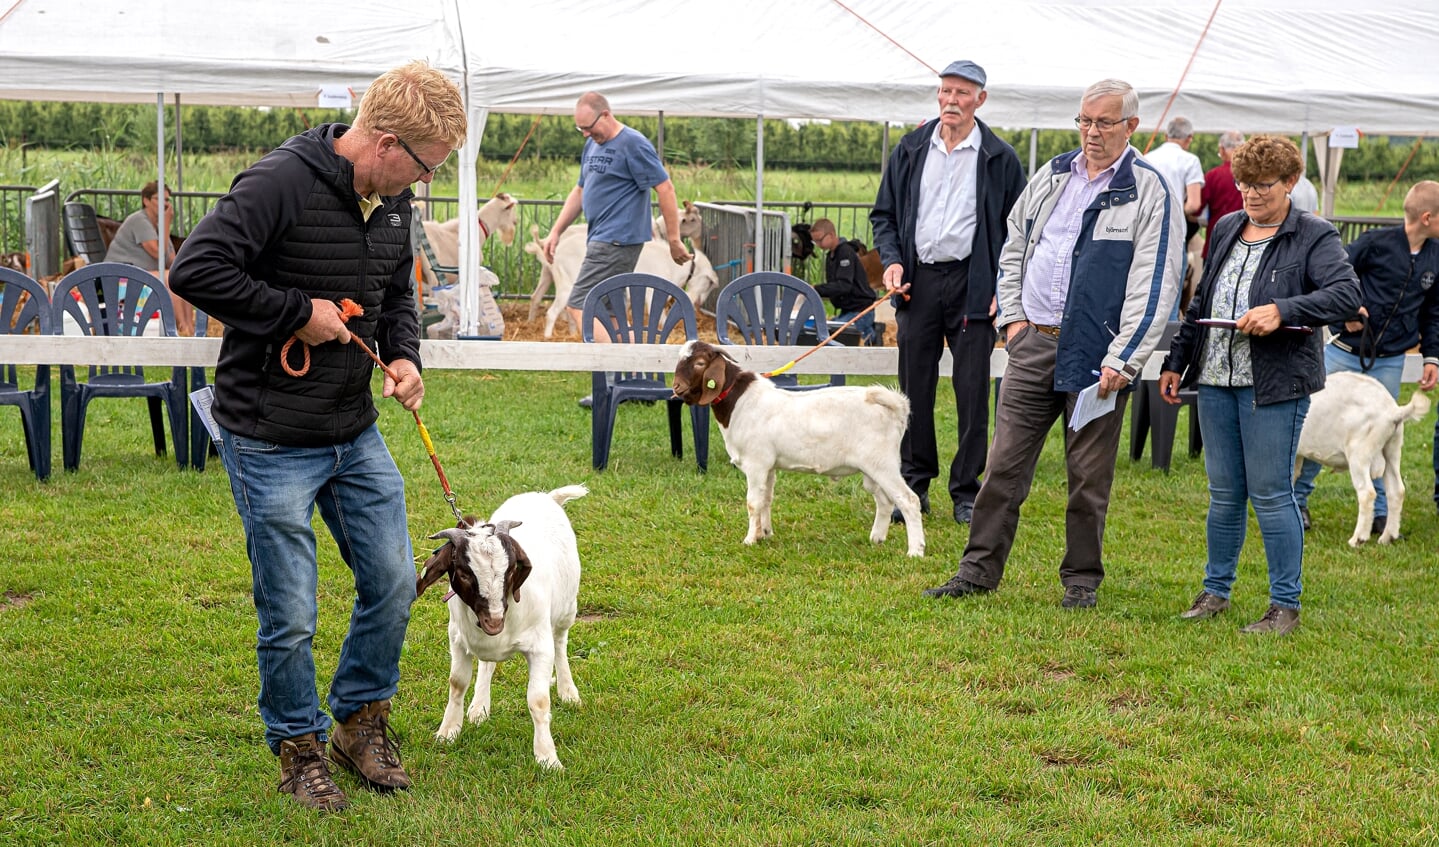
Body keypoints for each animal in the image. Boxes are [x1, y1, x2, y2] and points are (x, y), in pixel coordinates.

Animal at [414, 483, 587, 765]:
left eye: (511, 570)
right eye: (464, 573)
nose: (493, 622)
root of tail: (545, 497)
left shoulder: (540, 647)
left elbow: (539, 700)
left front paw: (547, 758)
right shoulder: (457, 639)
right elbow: (457, 683)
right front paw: (448, 731)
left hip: (567, 608)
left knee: (561, 642)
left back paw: (568, 691)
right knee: (487, 664)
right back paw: (479, 707)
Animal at [670, 336, 926, 555]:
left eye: (700, 363)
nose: (677, 388)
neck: (741, 402)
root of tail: (895, 407)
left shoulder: (756, 463)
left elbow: (753, 502)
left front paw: (750, 540)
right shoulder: (769, 466)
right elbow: (766, 500)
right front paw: (765, 533)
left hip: (883, 463)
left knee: (908, 500)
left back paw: (915, 551)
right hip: (872, 469)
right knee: (884, 500)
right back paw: (877, 539)